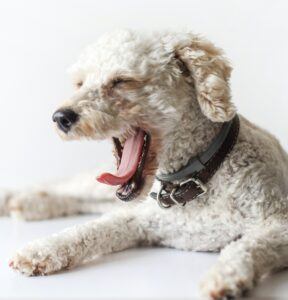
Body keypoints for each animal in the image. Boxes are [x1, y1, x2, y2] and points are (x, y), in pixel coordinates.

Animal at [2, 28, 288, 300]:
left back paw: (27, 204)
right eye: (80, 83)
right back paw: (15, 199)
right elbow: (87, 230)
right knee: (65, 184)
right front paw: (40, 250)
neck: (192, 183)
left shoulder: (279, 224)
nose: (60, 117)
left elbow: (245, 247)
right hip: (95, 186)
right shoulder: (137, 220)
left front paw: (224, 277)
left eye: (121, 81)